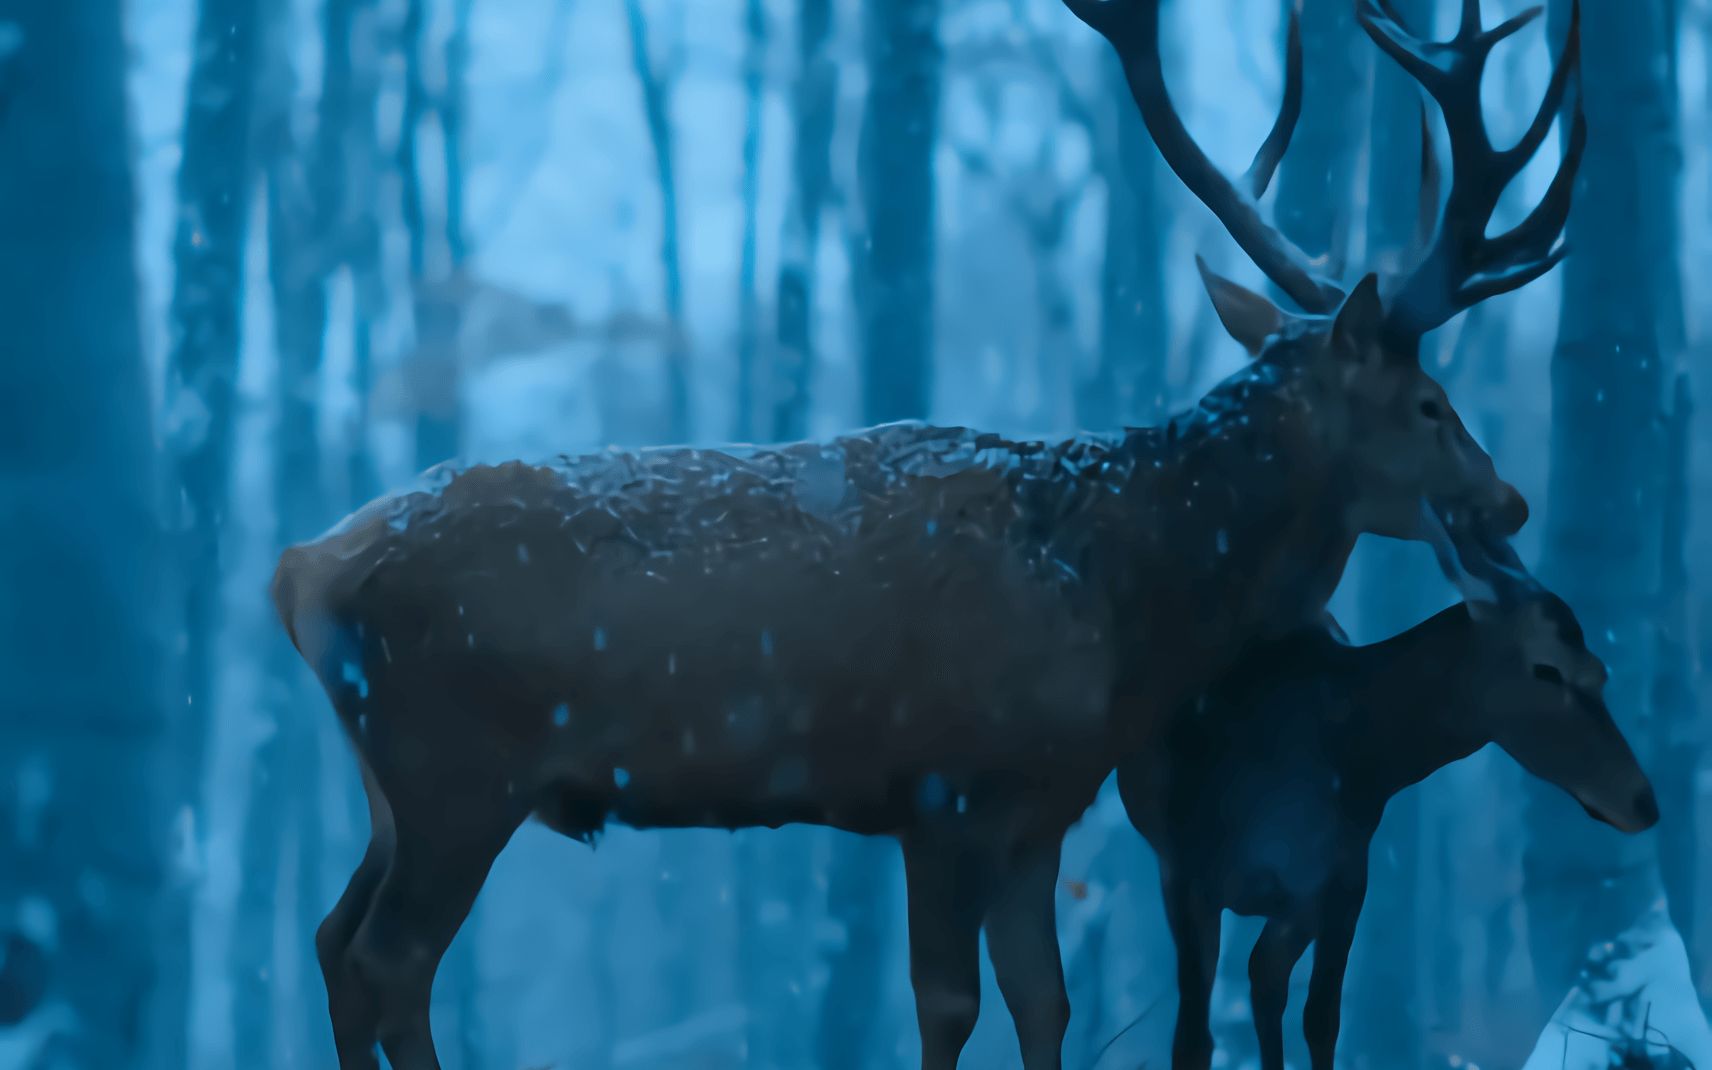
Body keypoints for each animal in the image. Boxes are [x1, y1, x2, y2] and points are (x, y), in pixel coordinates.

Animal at [270, 2, 1575, 1068]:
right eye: (1428, 400)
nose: (1511, 500)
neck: (1118, 601)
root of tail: (298, 571)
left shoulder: (1039, 804)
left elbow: (1043, 1002)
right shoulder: (942, 781)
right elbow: (947, 1006)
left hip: (392, 783)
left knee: (333, 938)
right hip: (454, 765)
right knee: (390, 960)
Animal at [1123, 510, 1657, 1068]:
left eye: (1600, 670)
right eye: (1547, 668)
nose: (1643, 801)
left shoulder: (1342, 879)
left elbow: (1318, 1014)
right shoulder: (1188, 874)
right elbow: (1194, 1036)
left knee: (1267, 979)